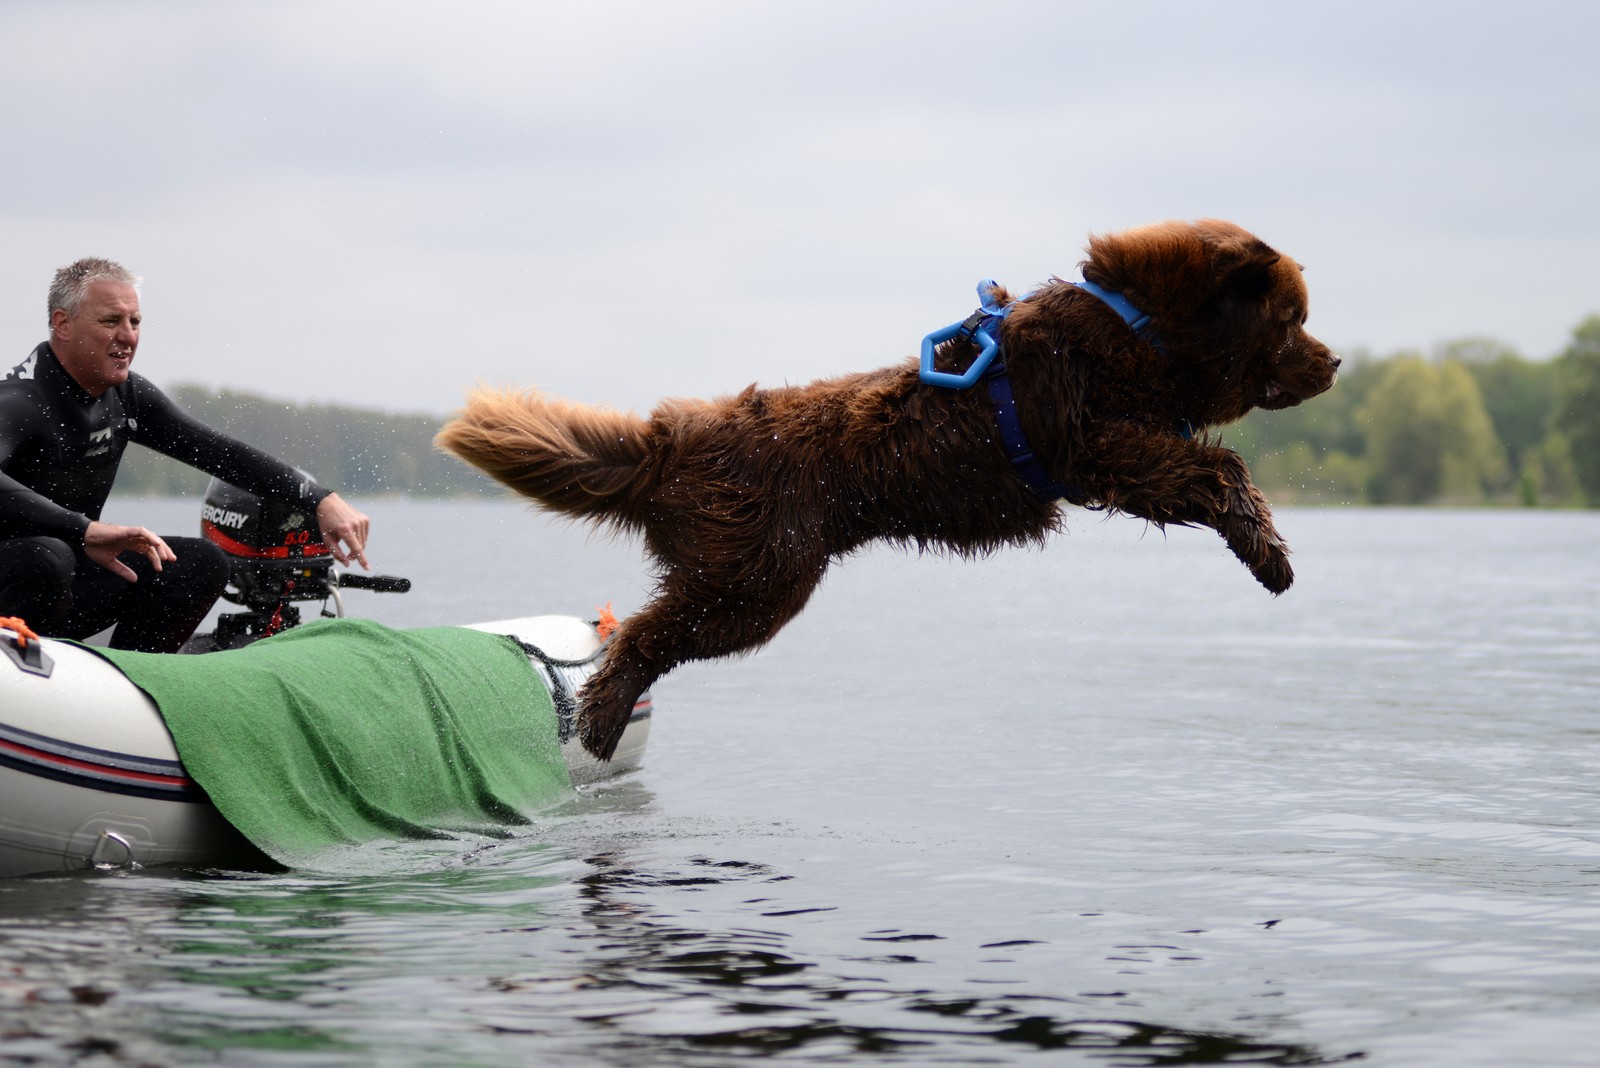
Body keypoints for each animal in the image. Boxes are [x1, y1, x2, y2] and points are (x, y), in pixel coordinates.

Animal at [435, 219, 1337, 757]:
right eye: (1291, 319)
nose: (1332, 362)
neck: (1138, 331)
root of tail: (679, 438)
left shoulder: (1122, 454)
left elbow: (1208, 474)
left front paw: (1266, 550)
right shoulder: (1097, 445)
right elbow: (1217, 467)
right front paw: (1271, 554)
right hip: (753, 583)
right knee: (641, 638)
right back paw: (599, 716)